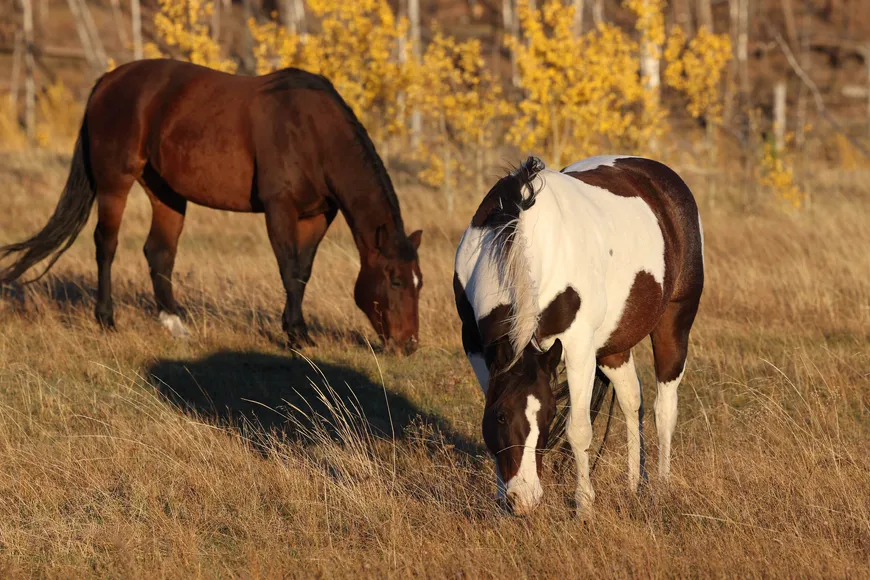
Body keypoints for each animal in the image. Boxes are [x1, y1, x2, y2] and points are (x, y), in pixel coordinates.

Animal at [0, 59, 423, 353]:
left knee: (159, 253)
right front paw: (296, 335)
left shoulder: (318, 215)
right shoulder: (279, 208)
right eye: (395, 280)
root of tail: (108, 80)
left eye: (419, 281)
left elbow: (302, 273)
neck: (312, 131)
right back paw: (106, 320)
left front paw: (295, 330)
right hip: (114, 182)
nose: (408, 344)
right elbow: (288, 270)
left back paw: (176, 325)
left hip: (166, 191)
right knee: (106, 245)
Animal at [453, 155, 704, 515]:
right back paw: (634, 485)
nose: (524, 499)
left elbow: (579, 430)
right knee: (632, 401)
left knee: (664, 409)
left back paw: (660, 487)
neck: (518, 241)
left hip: (674, 322)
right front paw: (501, 496)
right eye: (501, 416)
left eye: (549, 414)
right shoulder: (475, 344)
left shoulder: (577, 346)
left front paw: (584, 506)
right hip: (613, 346)